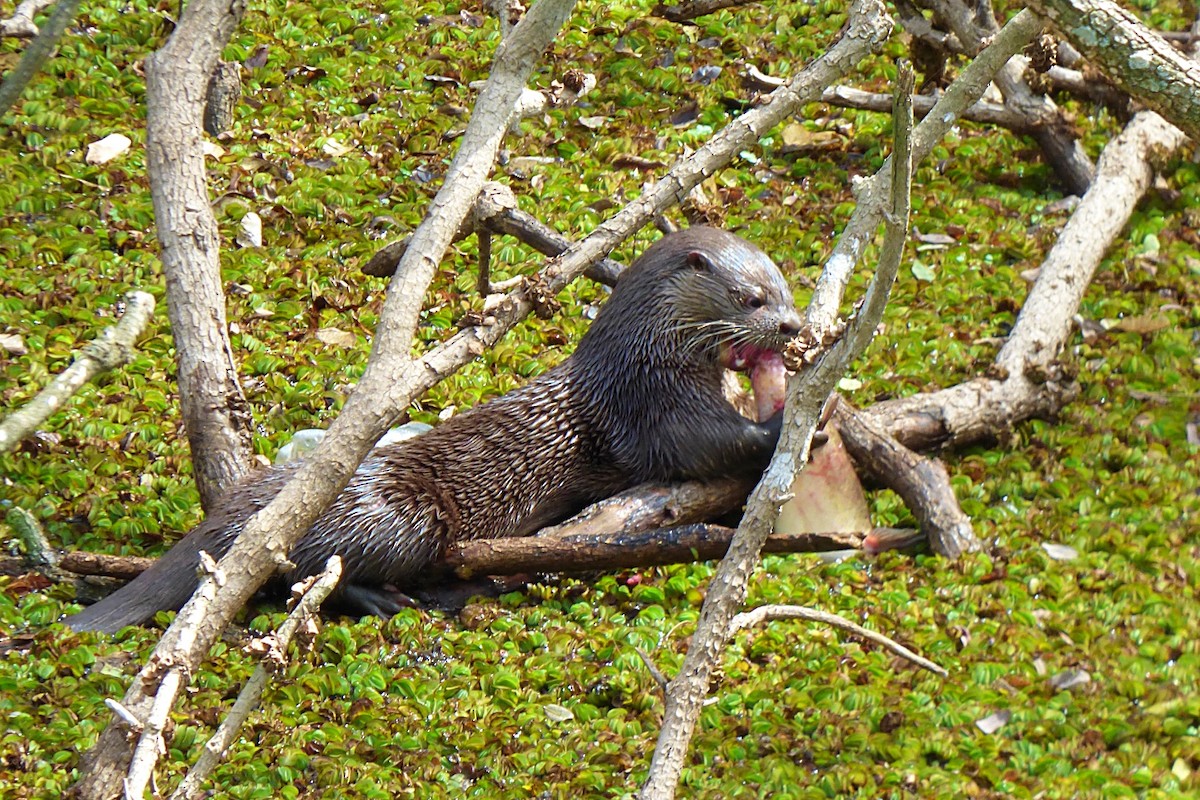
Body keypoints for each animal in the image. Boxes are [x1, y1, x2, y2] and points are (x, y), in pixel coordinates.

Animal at [67, 227, 800, 634]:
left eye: (787, 287)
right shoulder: (653, 404)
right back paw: (388, 599)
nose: (794, 326)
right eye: (752, 298)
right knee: (310, 572)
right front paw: (792, 418)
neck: (646, 353)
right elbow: (708, 444)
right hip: (399, 519)